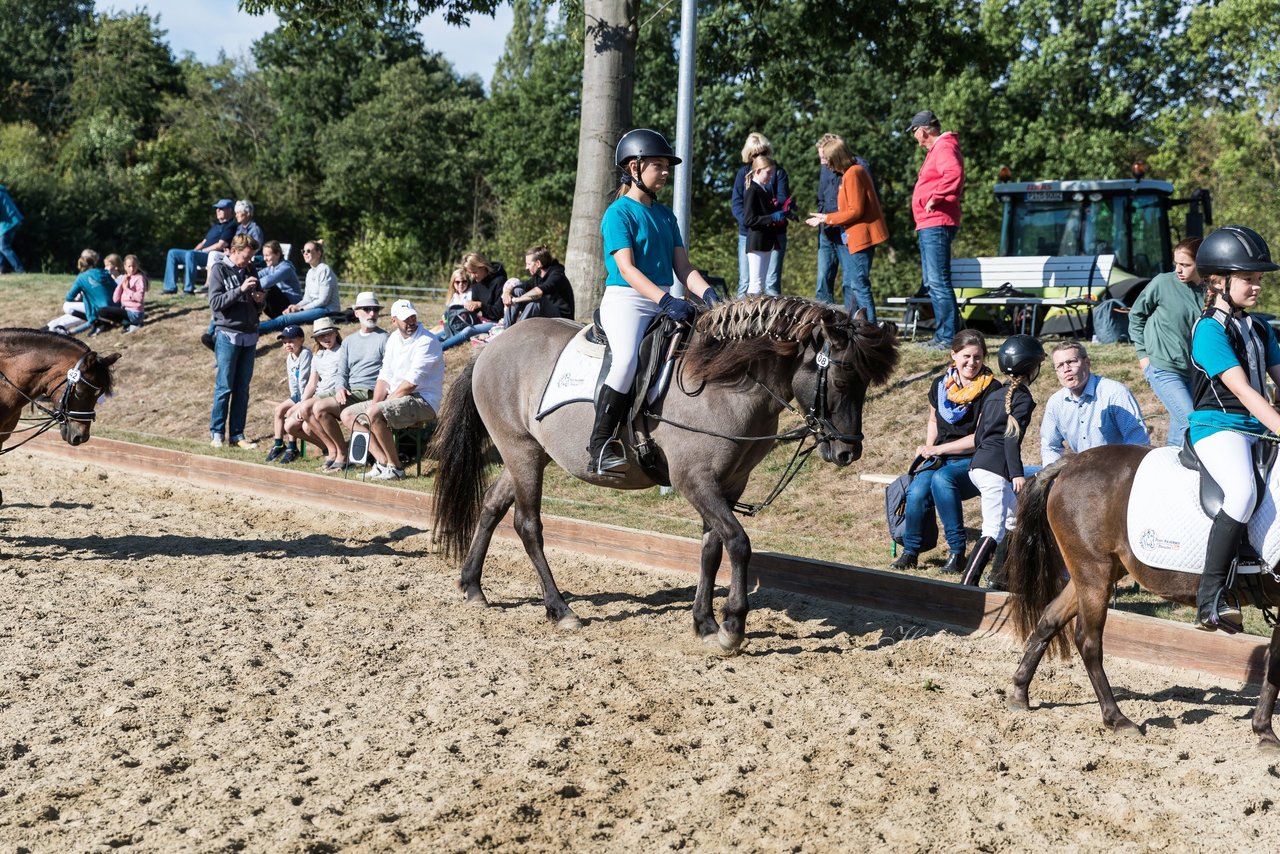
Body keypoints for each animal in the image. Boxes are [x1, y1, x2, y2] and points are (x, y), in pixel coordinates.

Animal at [430, 297, 901, 650]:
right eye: (840, 378)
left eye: (864, 384)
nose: (847, 452)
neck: (725, 383)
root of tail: (492, 346)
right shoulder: (694, 481)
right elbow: (739, 543)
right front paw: (732, 627)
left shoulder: (729, 485)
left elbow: (712, 549)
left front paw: (705, 623)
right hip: (522, 452)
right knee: (528, 525)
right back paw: (561, 610)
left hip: (529, 454)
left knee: (492, 506)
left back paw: (472, 586)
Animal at [998, 448, 1280, 747]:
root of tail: (1072, 462)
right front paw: (1264, 730)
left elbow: (1274, 663)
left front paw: (1264, 730)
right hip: (1093, 572)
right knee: (1088, 641)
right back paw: (1116, 718)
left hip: (1094, 573)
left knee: (1049, 619)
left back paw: (1019, 693)